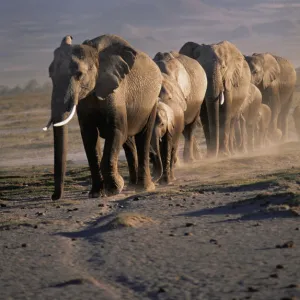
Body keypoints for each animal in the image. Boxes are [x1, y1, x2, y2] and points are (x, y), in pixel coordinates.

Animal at [42, 34, 162, 199]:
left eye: (79, 74)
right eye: (50, 75)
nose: (54, 197)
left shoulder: (116, 91)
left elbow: (116, 131)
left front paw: (114, 189)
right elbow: (89, 137)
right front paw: (96, 194)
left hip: (152, 102)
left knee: (143, 137)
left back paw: (143, 188)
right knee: (129, 142)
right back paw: (132, 185)